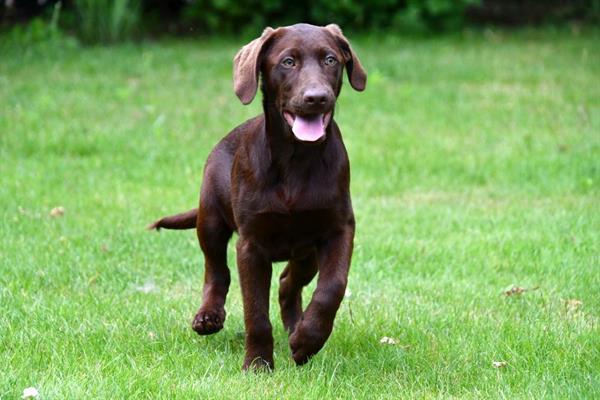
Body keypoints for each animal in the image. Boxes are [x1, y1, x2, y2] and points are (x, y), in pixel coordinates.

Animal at [150, 23, 366, 370]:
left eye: (330, 60)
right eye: (288, 62)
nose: (316, 98)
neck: (297, 159)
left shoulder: (338, 229)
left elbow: (332, 288)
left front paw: (307, 341)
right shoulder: (250, 245)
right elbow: (255, 311)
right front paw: (257, 364)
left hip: (306, 252)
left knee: (289, 282)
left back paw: (296, 329)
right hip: (210, 219)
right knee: (216, 271)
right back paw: (208, 316)